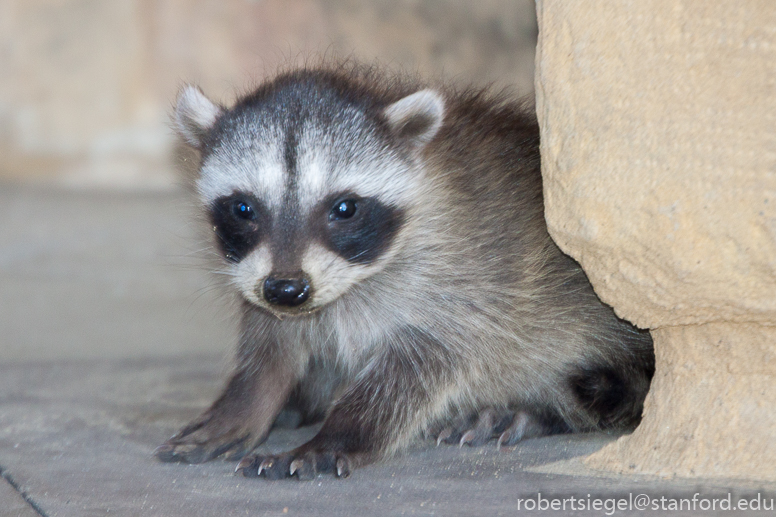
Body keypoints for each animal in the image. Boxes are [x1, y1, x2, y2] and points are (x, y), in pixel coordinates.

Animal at [155, 64, 654, 480]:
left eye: (345, 208)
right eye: (243, 209)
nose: (287, 290)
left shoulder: (462, 281)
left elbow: (413, 373)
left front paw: (341, 433)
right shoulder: (260, 278)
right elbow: (269, 348)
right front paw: (245, 406)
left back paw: (536, 411)